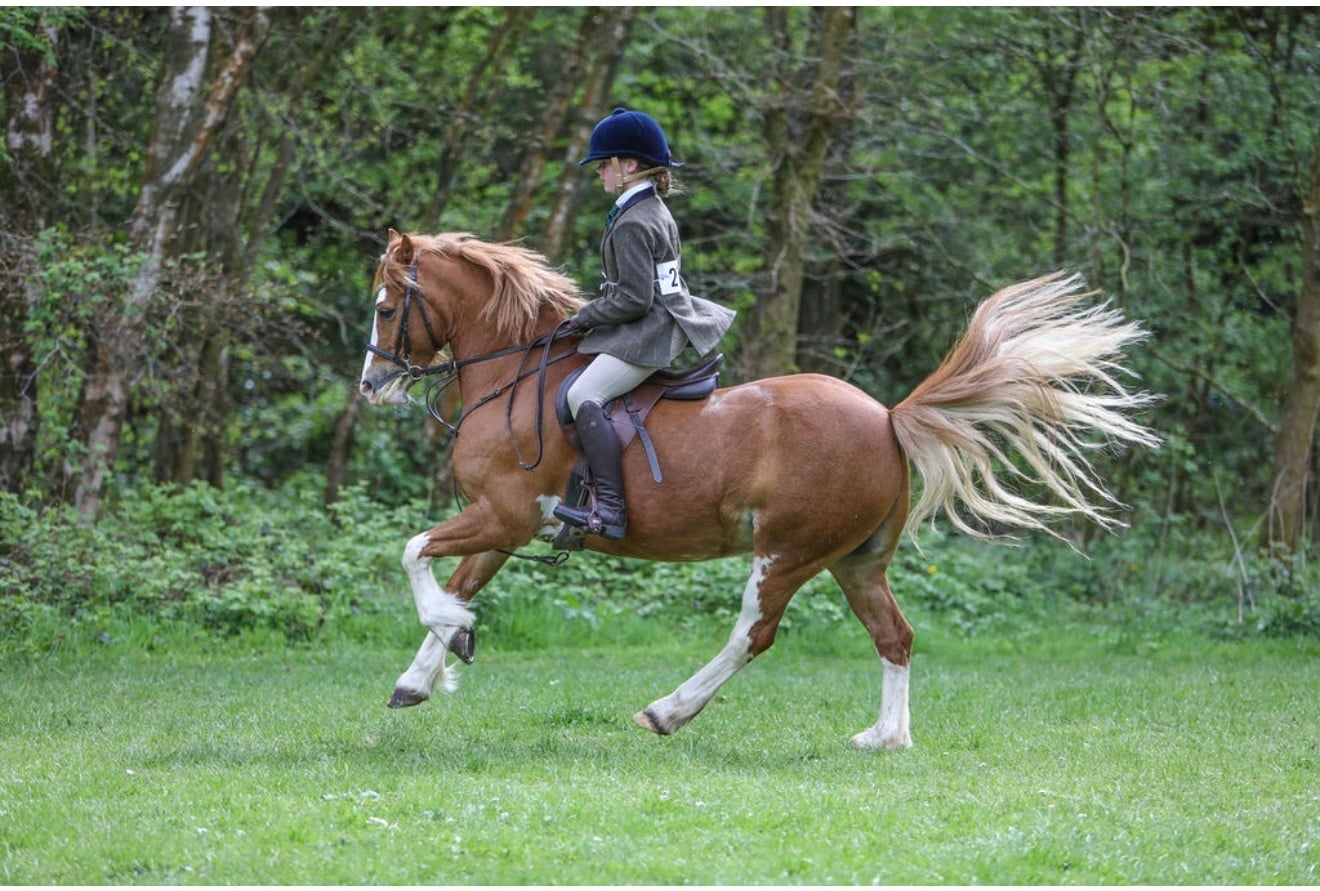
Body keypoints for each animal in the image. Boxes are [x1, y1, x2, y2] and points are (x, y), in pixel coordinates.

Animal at [358, 229, 1159, 750]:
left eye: (388, 306)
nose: (371, 385)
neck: (517, 373)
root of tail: (887, 419)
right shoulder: (505, 522)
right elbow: (456, 578)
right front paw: (424, 672)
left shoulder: (504, 514)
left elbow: (414, 554)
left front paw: (451, 632)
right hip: (855, 560)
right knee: (893, 634)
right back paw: (885, 738)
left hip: (787, 552)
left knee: (754, 633)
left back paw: (668, 712)